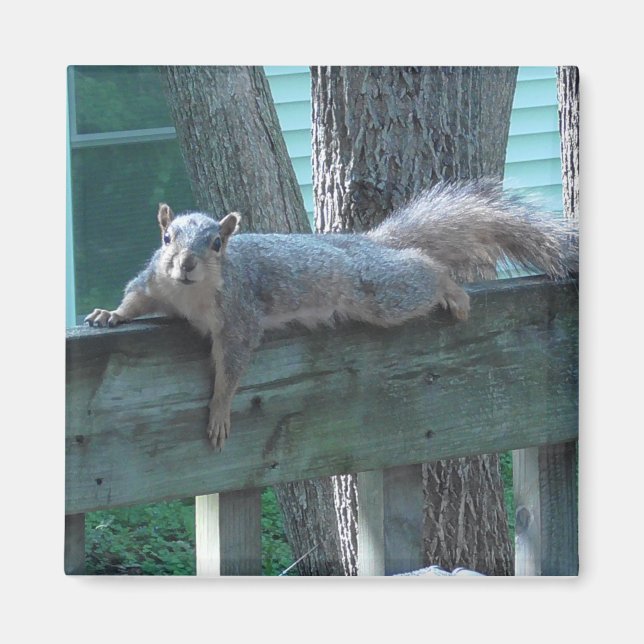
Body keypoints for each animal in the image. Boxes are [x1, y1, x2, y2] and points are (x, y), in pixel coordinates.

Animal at [85, 180, 577, 451]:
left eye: (217, 244)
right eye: (166, 237)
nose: (185, 264)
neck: (191, 295)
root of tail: (368, 243)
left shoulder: (240, 316)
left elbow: (233, 365)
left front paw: (220, 410)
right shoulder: (154, 282)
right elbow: (134, 300)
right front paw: (109, 314)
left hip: (383, 292)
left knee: (424, 271)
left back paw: (449, 288)